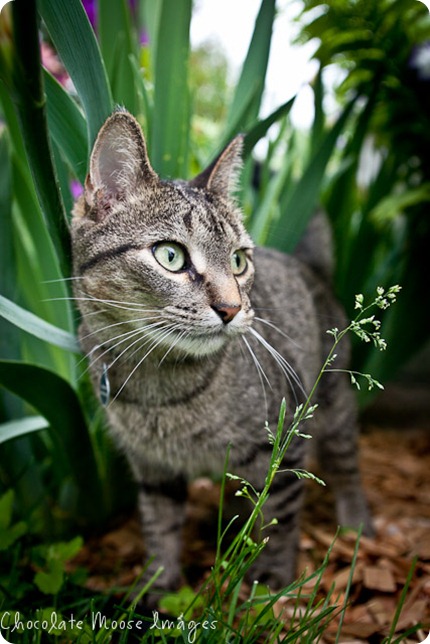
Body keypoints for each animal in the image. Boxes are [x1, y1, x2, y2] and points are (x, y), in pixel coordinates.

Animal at [71, 109, 372, 592]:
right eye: (170, 256)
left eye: (238, 261)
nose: (231, 308)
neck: (160, 385)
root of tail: (312, 267)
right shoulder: (152, 469)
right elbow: (160, 527)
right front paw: (156, 588)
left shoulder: (283, 444)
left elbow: (279, 521)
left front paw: (269, 586)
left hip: (334, 404)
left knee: (346, 464)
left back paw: (357, 523)